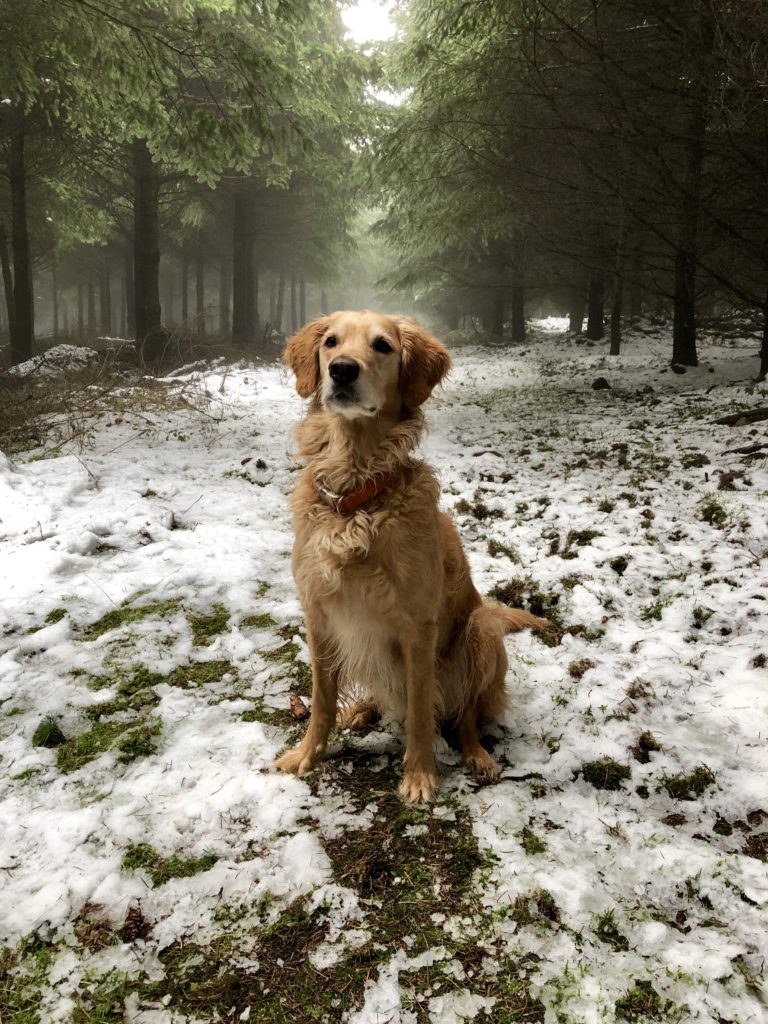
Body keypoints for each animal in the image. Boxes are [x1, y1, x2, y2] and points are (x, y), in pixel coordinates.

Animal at [276, 307, 548, 802]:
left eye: (382, 346)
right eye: (330, 342)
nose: (341, 370)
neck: (358, 494)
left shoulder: (417, 627)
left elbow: (422, 711)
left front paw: (419, 776)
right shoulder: (319, 616)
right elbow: (321, 700)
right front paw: (307, 753)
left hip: (480, 632)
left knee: (464, 715)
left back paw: (477, 756)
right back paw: (358, 710)